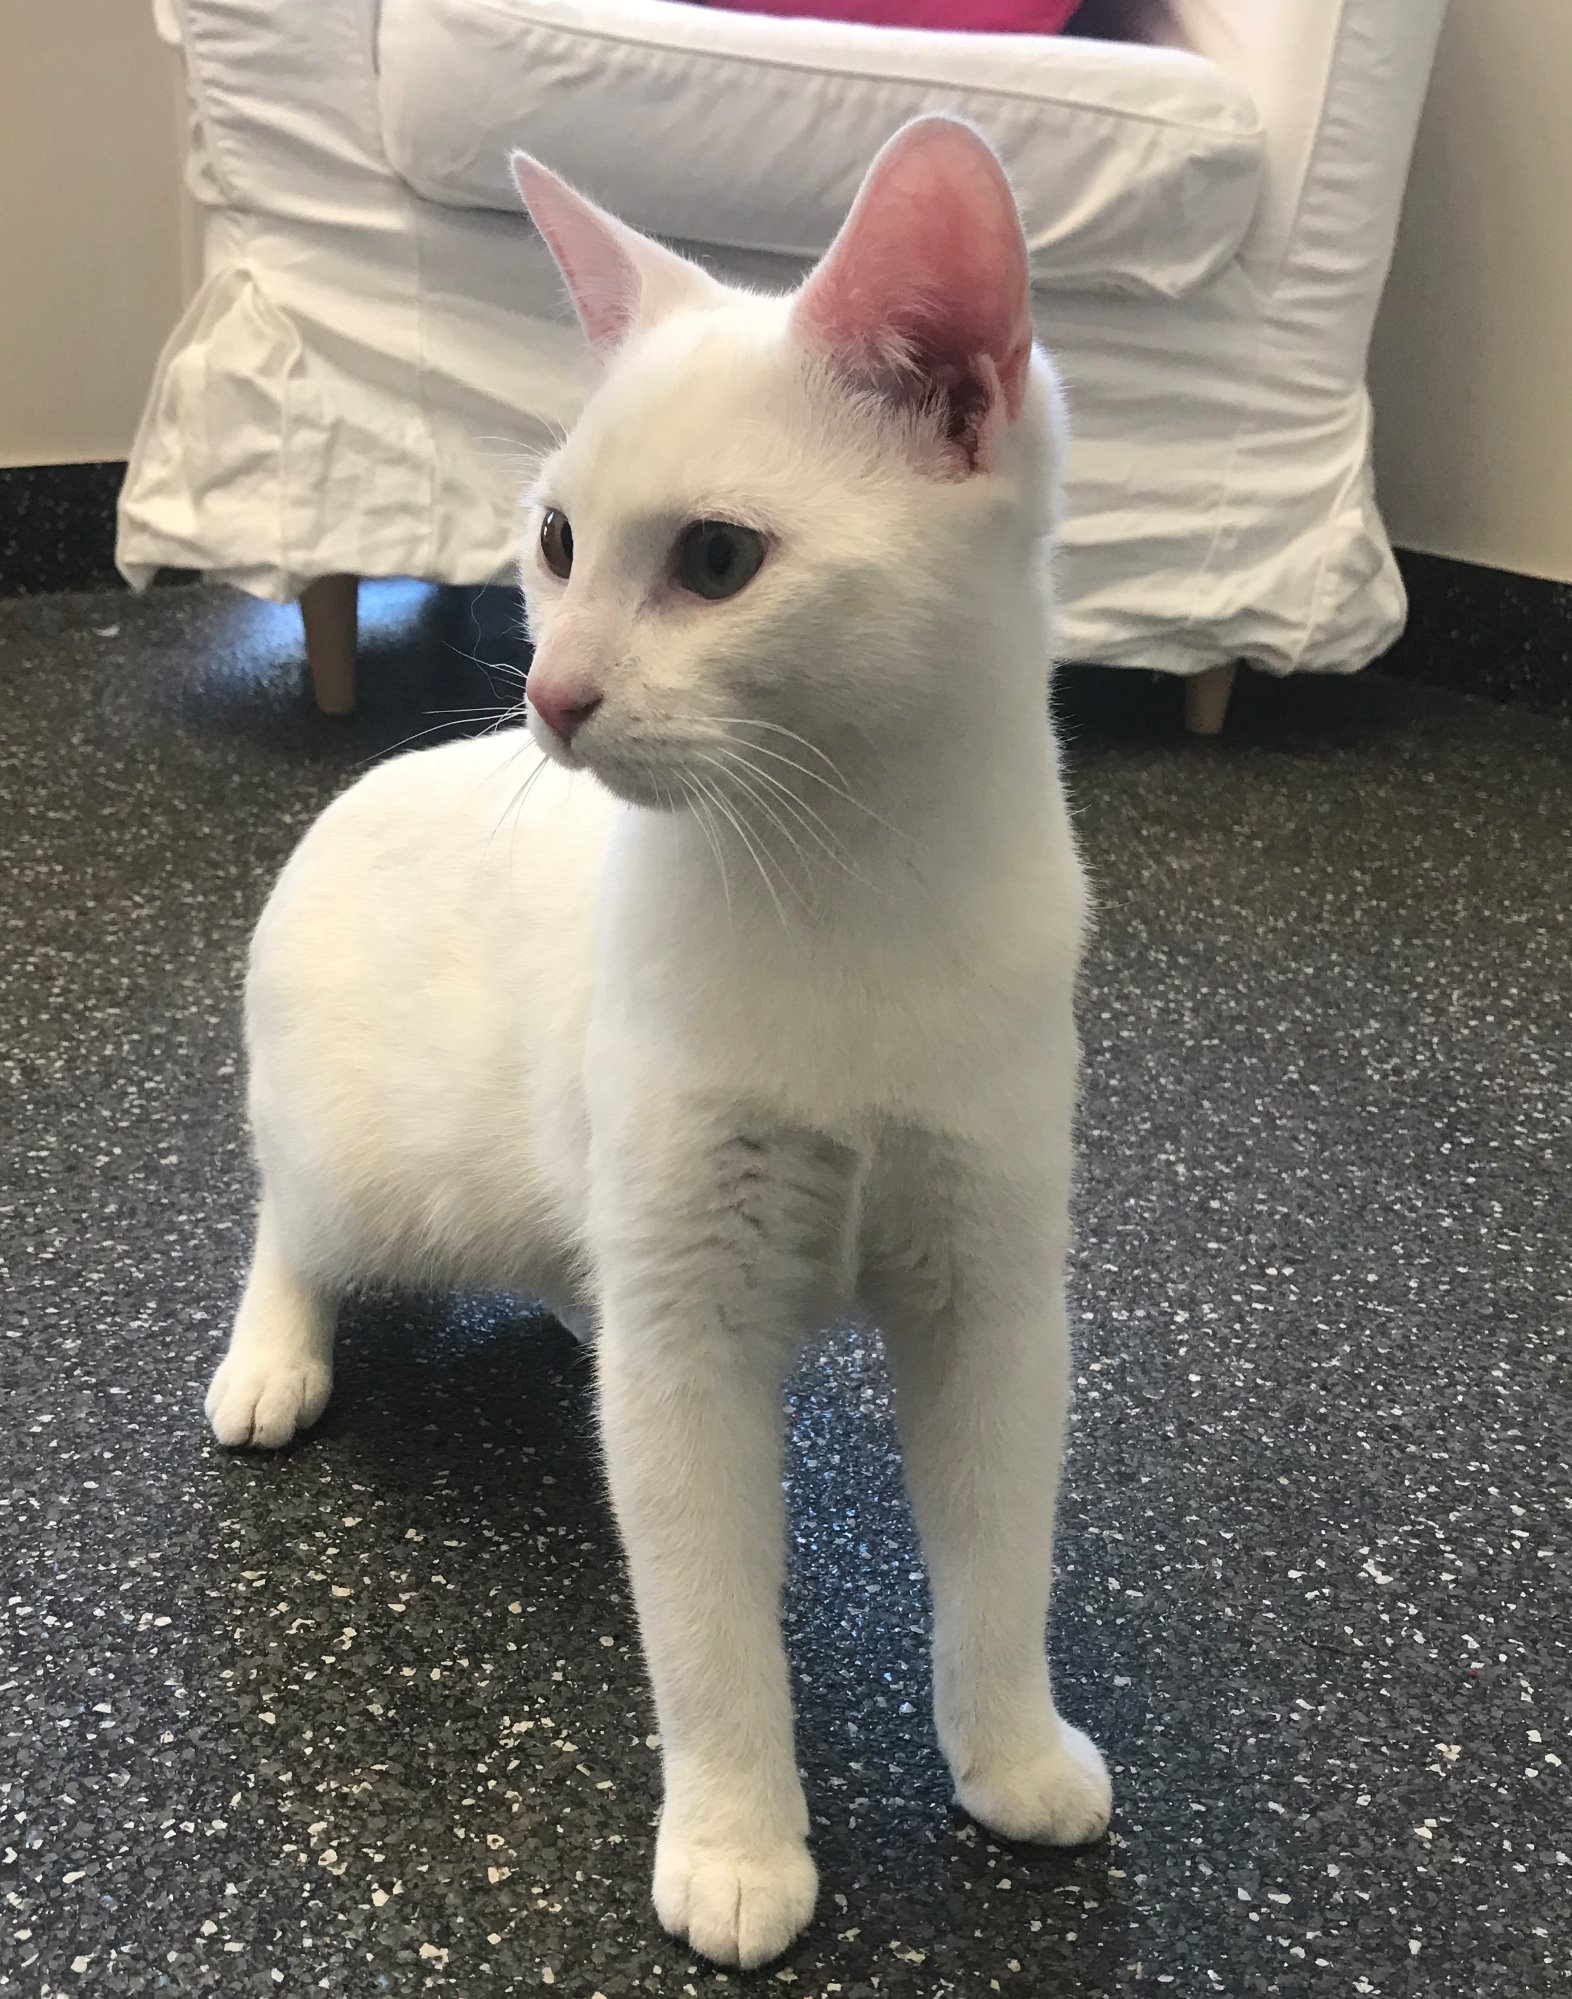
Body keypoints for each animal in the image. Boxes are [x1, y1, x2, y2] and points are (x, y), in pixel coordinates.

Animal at [204, 115, 1111, 1968]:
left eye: (714, 562)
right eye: (554, 538)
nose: (551, 695)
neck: (842, 876)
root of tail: (362, 786)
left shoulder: (991, 1298)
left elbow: (998, 1564)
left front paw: (1008, 1751)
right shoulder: (690, 1340)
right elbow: (708, 1630)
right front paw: (739, 1842)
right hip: (365, 1181)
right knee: (286, 1225)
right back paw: (272, 1359)